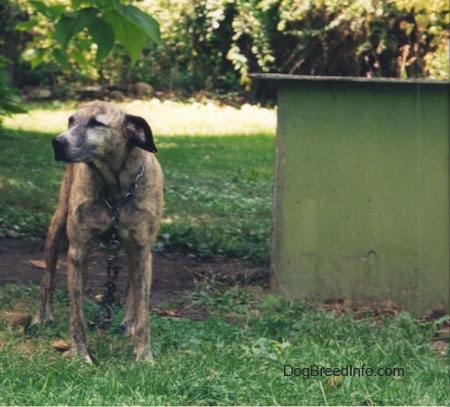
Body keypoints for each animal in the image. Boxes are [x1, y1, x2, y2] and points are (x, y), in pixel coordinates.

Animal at [33, 102, 164, 364]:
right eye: (71, 121)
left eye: (97, 123)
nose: (57, 142)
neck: (115, 186)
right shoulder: (78, 251)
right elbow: (77, 313)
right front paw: (81, 354)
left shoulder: (143, 250)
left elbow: (143, 308)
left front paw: (144, 355)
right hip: (57, 227)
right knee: (48, 279)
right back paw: (41, 317)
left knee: (132, 287)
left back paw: (128, 324)